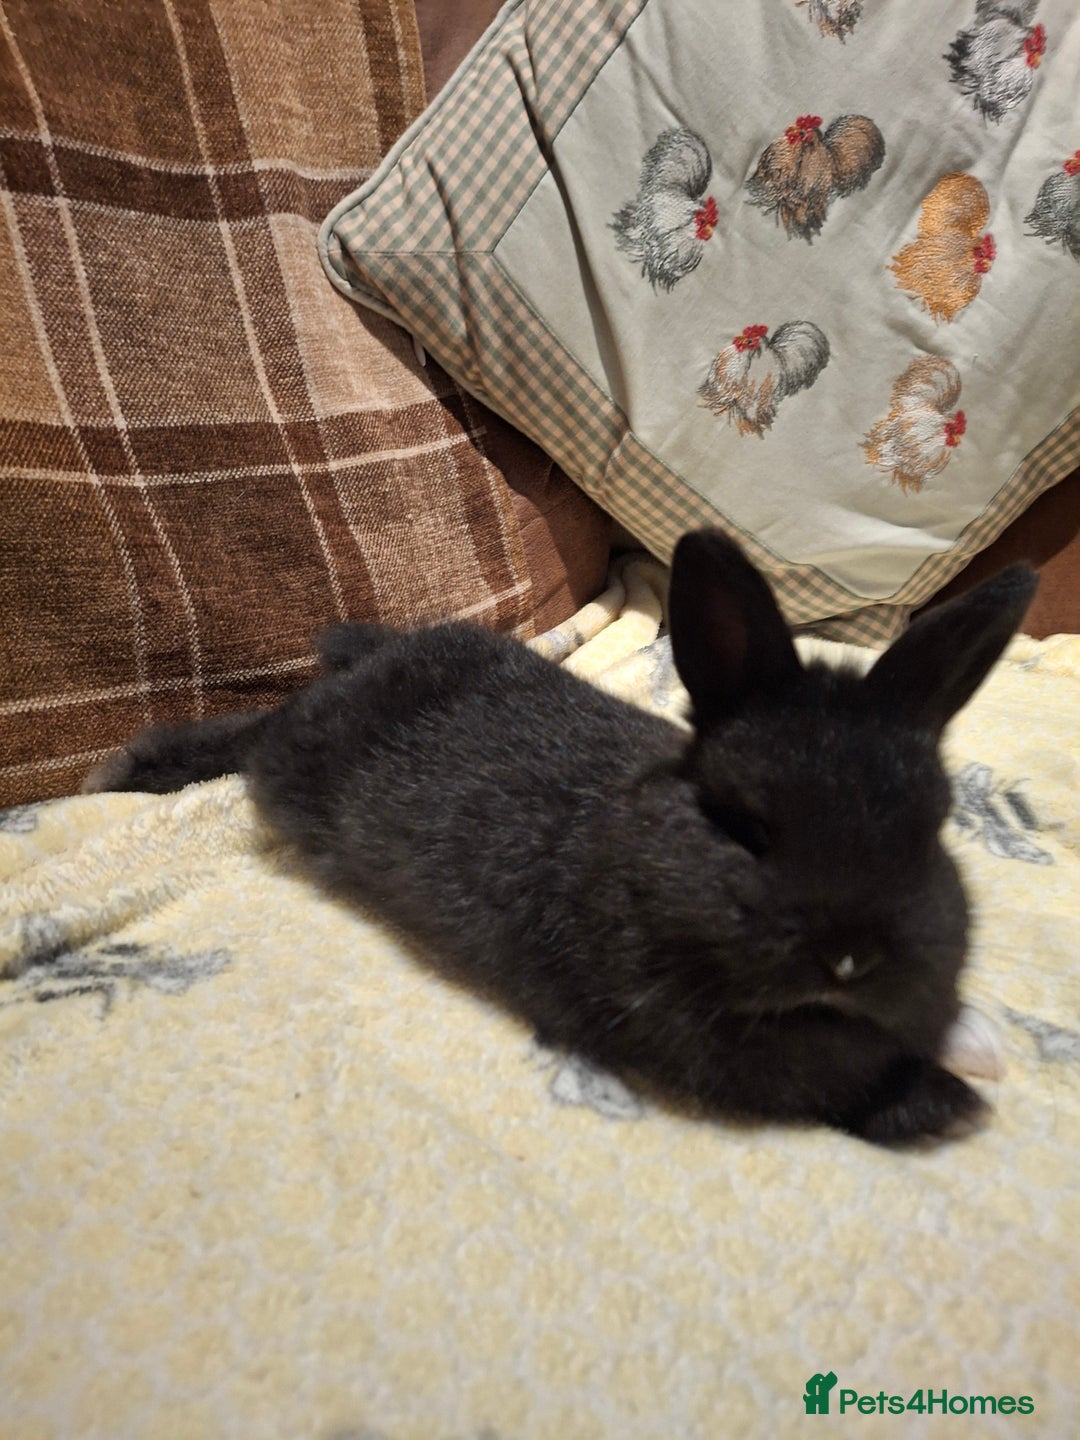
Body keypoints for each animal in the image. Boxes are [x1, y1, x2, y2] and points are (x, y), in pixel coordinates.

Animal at [83, 531, 1037, 1144]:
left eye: (933, 829)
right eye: (745, 825)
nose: (850, 960)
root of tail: (375, 658)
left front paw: (973, 1034)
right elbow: (845, 1089)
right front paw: (953, 1102)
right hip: (293, 758)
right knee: (252, 737)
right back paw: (130, 768)